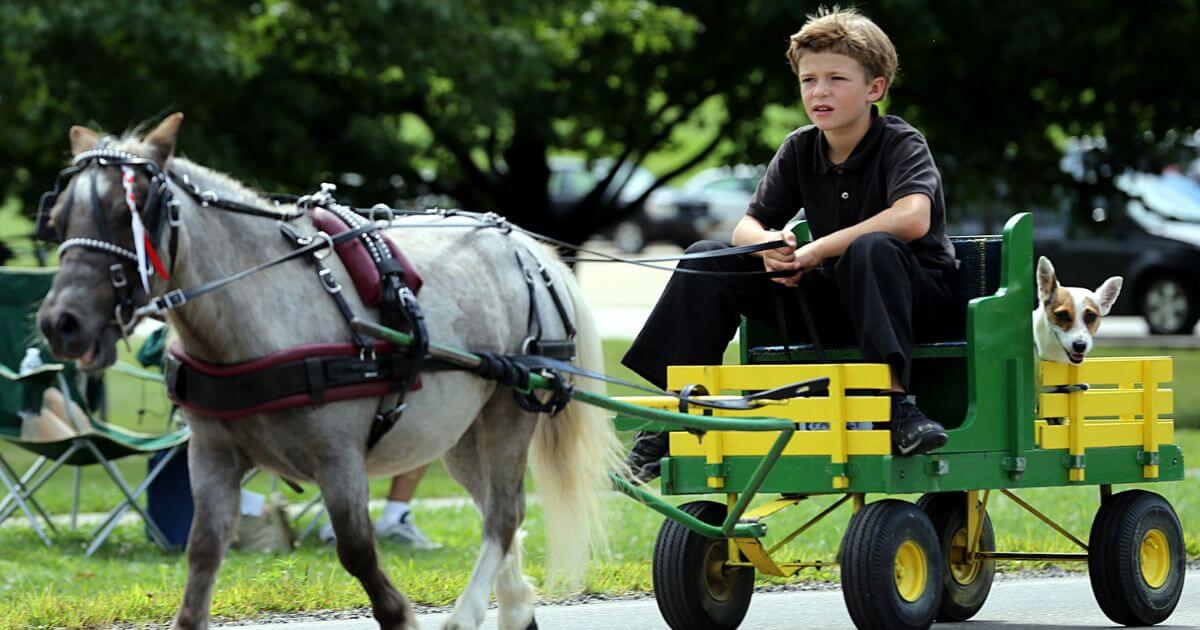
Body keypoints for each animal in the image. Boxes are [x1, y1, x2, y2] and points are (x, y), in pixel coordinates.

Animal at [34, 114, 624, 628]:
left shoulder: (338, 458)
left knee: (503, 516)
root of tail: (527, 248)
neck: (257, 307)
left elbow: (358, 551)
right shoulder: (213, 455)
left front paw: (400, 614)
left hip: (509, 411)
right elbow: (202, 556)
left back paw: (466, 615)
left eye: (126, 212)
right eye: (58, 220)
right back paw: (515, 608)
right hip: (458, 434)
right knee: (498, 515)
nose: (61, 323)